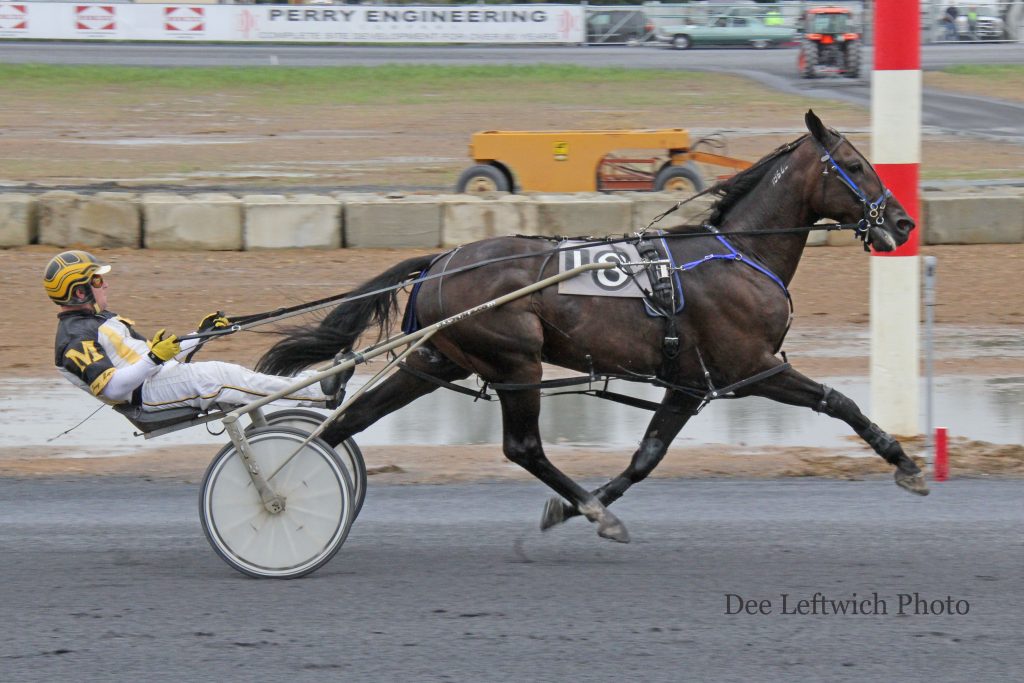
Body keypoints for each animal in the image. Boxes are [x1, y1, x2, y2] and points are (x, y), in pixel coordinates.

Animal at [258, 112, 929, 544]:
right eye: (854, 165)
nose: (902, 221)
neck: (737, 255)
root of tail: (441, 261)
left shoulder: (688, 383)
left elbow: (646, 456)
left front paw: (576, 510)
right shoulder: (752, 366)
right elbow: (839, 401)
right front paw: (905, 463)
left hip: (434, 360)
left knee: (345, 424)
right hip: (515, 361)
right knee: (522, 446)